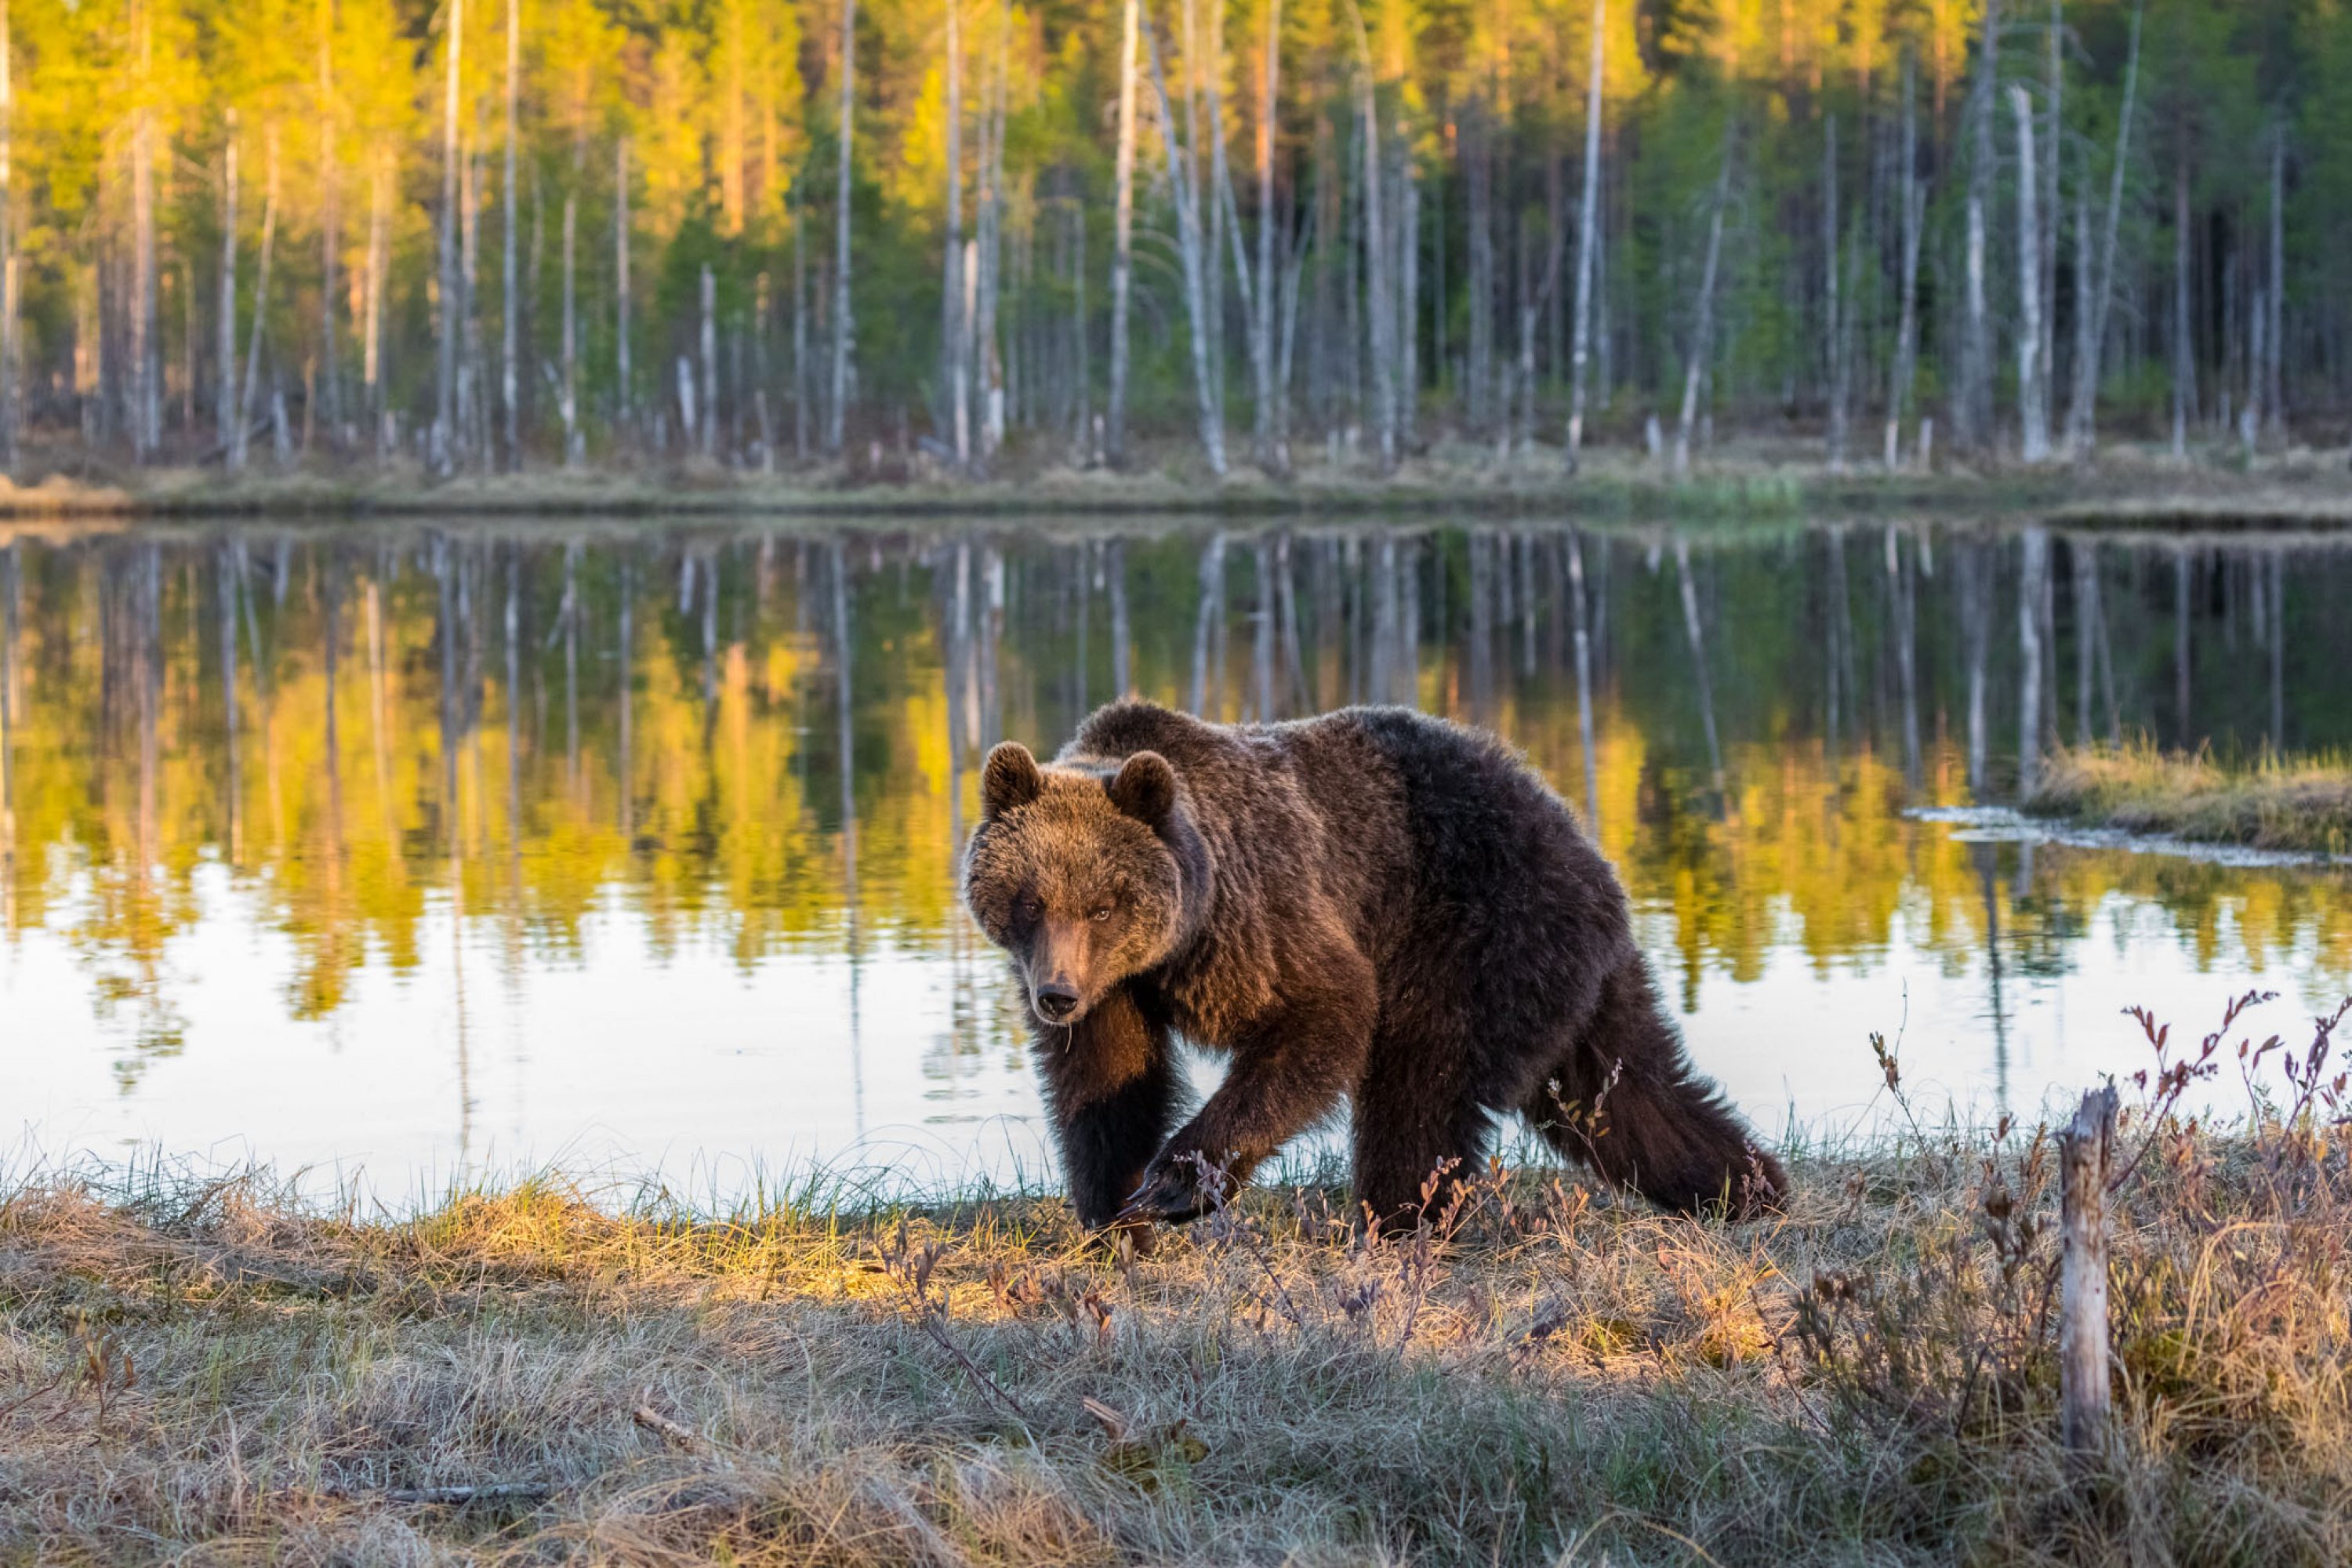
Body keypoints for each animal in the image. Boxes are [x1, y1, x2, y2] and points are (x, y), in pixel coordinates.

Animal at [955, 700, 1778, 1241]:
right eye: (1031, 900)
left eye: (1102, 905)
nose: (1055, 996)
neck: (1174, 943)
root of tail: (1577, 836)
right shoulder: (1119, 987)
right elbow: (1106, 1081)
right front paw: (1114, 1213)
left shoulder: (1258, 917)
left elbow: (1323, 1013)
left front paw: (1176, 1183)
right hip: (1567, 977)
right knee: (1626, 1092)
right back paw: (1748, 1185)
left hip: (1470, 939)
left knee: (1419, 1088)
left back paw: (1396, 1221)